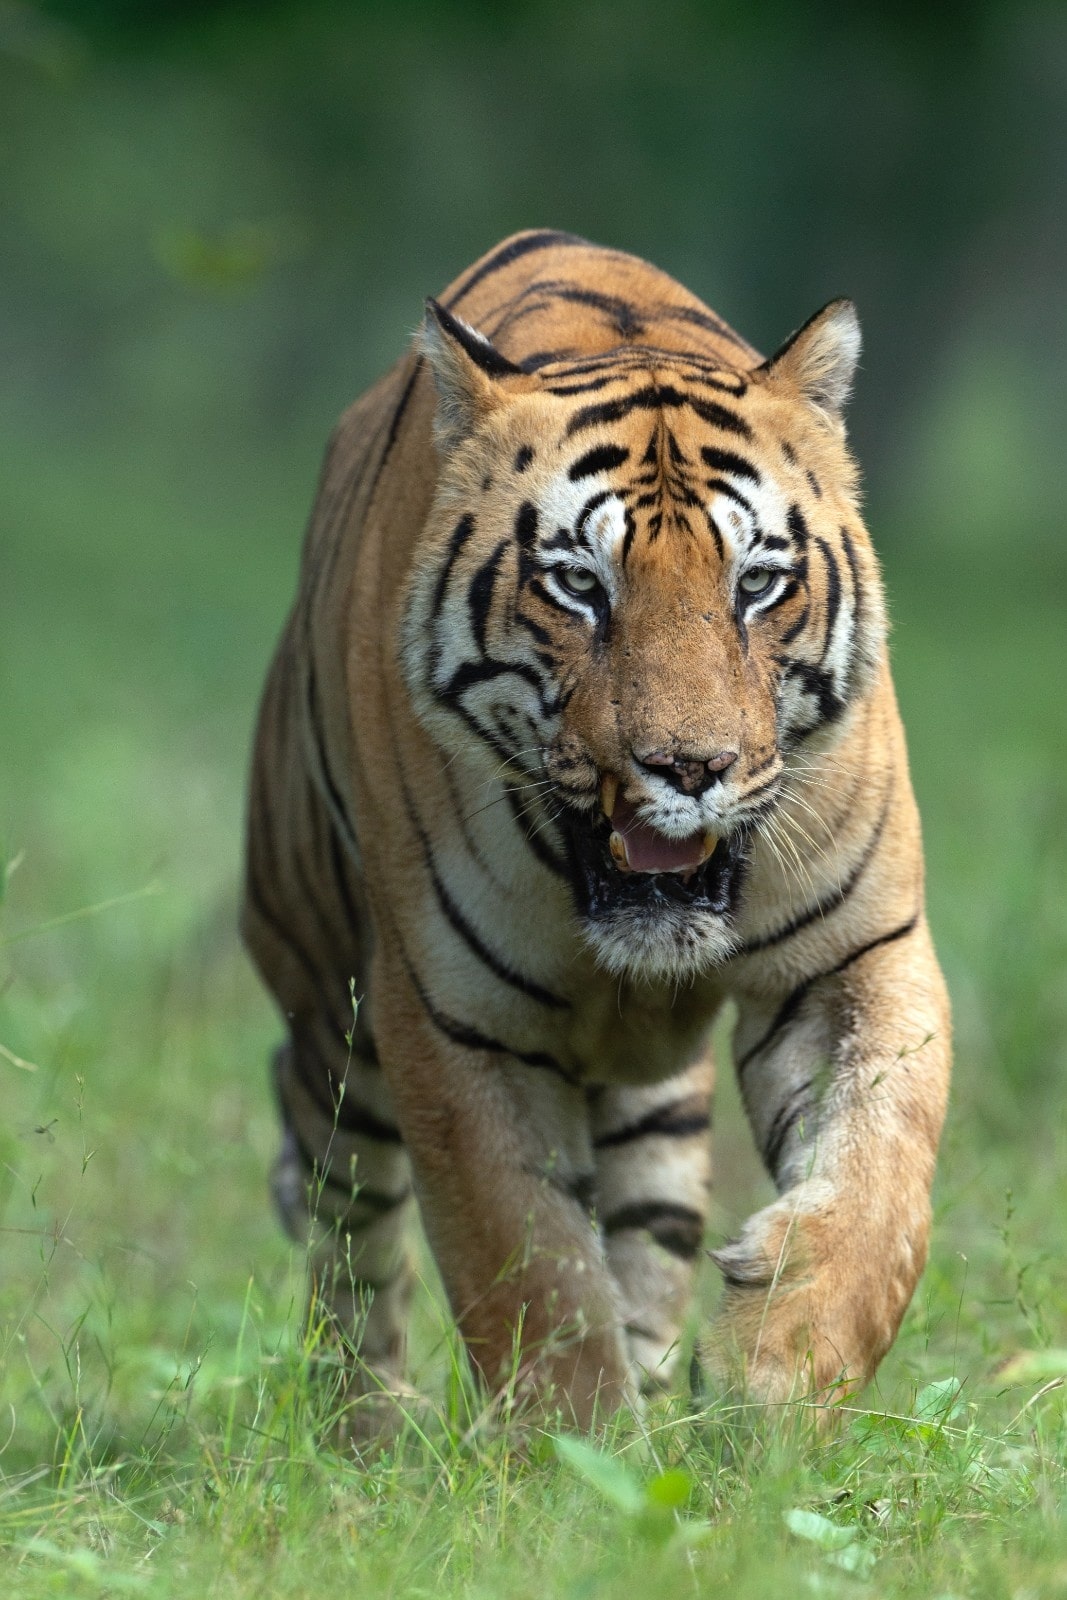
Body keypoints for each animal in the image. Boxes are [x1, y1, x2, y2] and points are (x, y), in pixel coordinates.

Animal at [243, 229, 951, 1433]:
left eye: (757, 583)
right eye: (577, 584)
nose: (691, 768)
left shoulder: (856, 953)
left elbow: (879, 1170)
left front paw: (777, 1375)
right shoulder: (453, 1019)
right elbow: (528, 1271)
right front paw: (572, 1456)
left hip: (652, 1113)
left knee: (644, 1238)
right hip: (325, 991)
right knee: (348, 1227)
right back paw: (364, 1434)